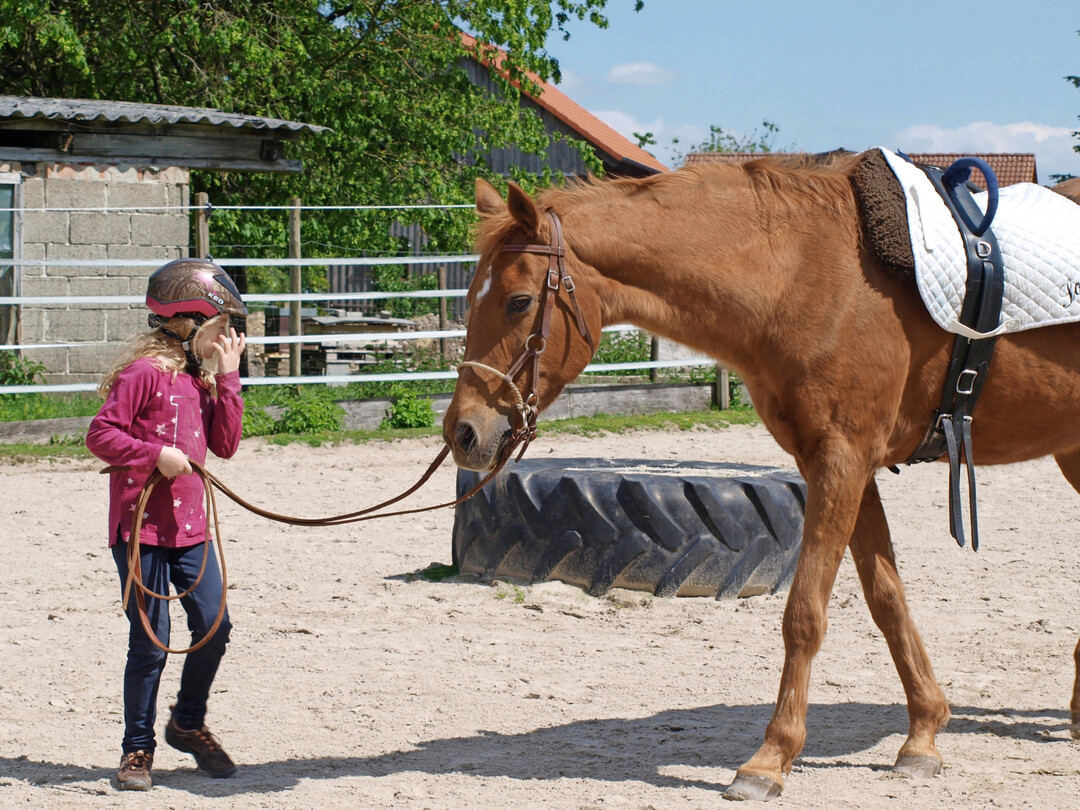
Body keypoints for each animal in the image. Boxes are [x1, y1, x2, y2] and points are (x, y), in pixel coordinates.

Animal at [440, 155, 1080, 801]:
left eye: (519, 301)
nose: (462, 431)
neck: (805, 276)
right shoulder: (845, 467)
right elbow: (887, 600)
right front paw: (923, 735)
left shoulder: (842, 460)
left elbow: (805, 615)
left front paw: (770, 759)